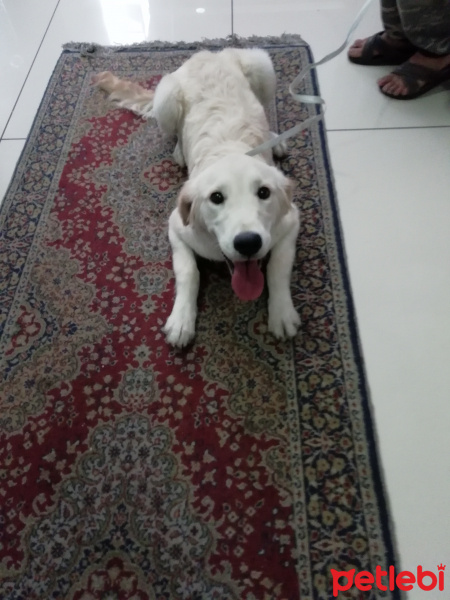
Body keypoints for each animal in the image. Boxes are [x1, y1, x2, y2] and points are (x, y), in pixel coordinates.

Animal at [93, 47, 300, 346]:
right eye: (216, 197)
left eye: (264, 193)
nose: (248, 242)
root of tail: (209, 52)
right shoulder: (176, 227)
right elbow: (189, 272)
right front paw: (181, 320)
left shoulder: (291, 221)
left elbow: (278, 266)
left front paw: (282, 312)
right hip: (166, 100)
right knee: (175, 132)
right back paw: (179, 150)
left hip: (262, 66)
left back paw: (277, 139)